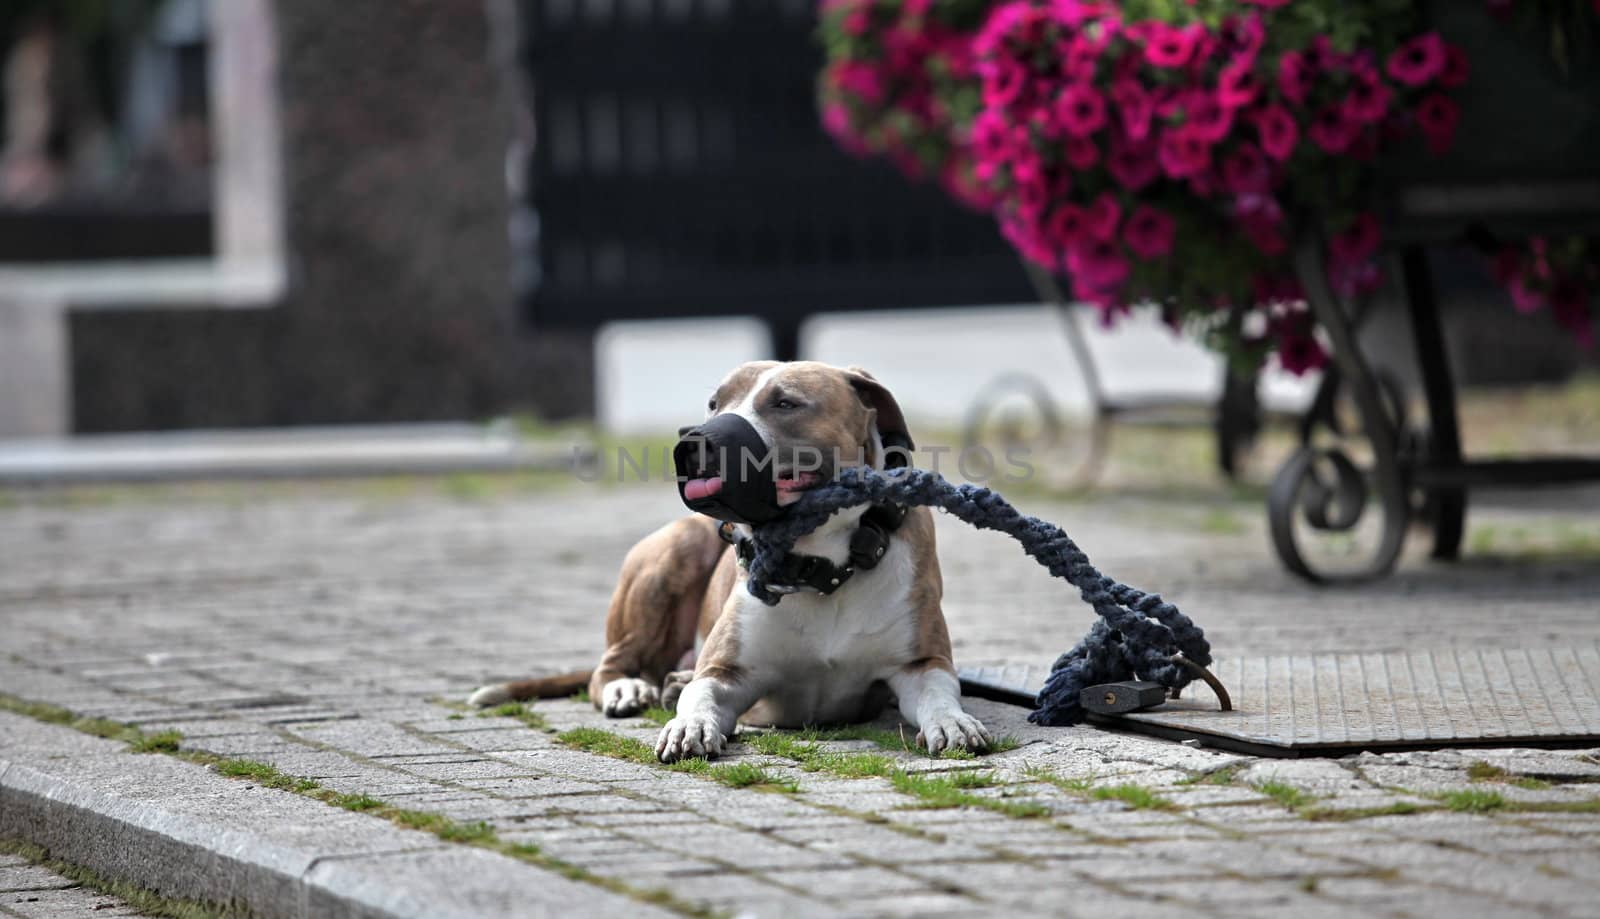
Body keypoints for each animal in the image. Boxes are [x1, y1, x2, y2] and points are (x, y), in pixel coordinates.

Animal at [467, 360, 985, 762]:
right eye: (715, 404)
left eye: (786, 403)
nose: (694, 441)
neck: (821, 565)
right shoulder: (726, 671)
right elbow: (702, 693)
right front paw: (688, 724)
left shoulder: (921, 662)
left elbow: (939, 693)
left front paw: (954, 723)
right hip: (678, 549)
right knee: (608, 668)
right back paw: (630, 689)